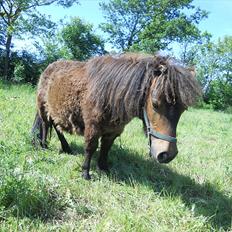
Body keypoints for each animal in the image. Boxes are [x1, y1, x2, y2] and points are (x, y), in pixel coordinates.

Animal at [31, 54, 202, 179]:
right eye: (155, 103)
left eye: (183, 109)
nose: (167, 155)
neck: (109, 95)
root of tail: (48, 68)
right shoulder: (92, 126)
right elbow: (90, 147)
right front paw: (86, 173)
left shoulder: (113, 131)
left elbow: (106, 148)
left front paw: (104, 168)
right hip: (43, 108)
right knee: (46, 125)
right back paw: (44, 145)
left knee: (56, 126)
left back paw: (66, 148)